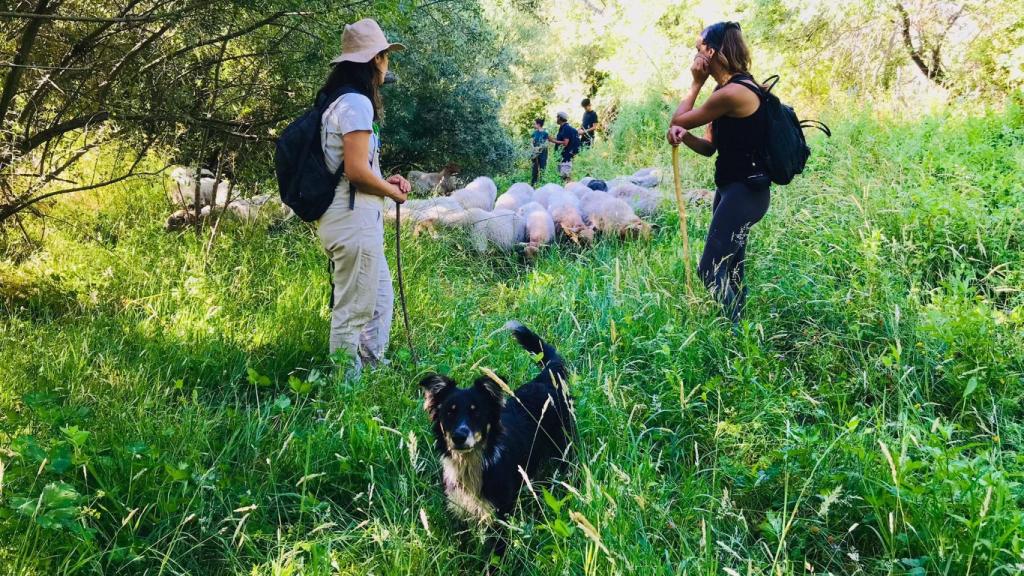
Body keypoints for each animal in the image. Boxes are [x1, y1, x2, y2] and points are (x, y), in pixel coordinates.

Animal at [417, 319, 577, 522]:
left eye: (476, 412)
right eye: (449, 412)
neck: (471, 463)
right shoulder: (458, 510)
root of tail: (544, 379)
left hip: (565, 446)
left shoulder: (500, 512)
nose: (459, 437)